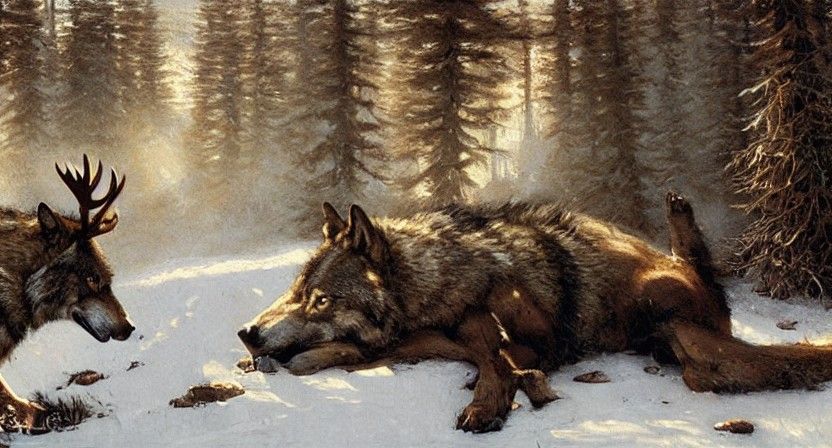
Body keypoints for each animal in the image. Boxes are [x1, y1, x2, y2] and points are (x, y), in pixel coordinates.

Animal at [239, 193, 832, 433]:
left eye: (321, 300)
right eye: (296, 292)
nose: (246, 332)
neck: (447, 277)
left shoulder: (536, 337)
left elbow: (487, 348)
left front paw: (489, 402)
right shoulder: (434, 334)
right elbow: (384, 347)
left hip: (666, 304)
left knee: (717, 354)